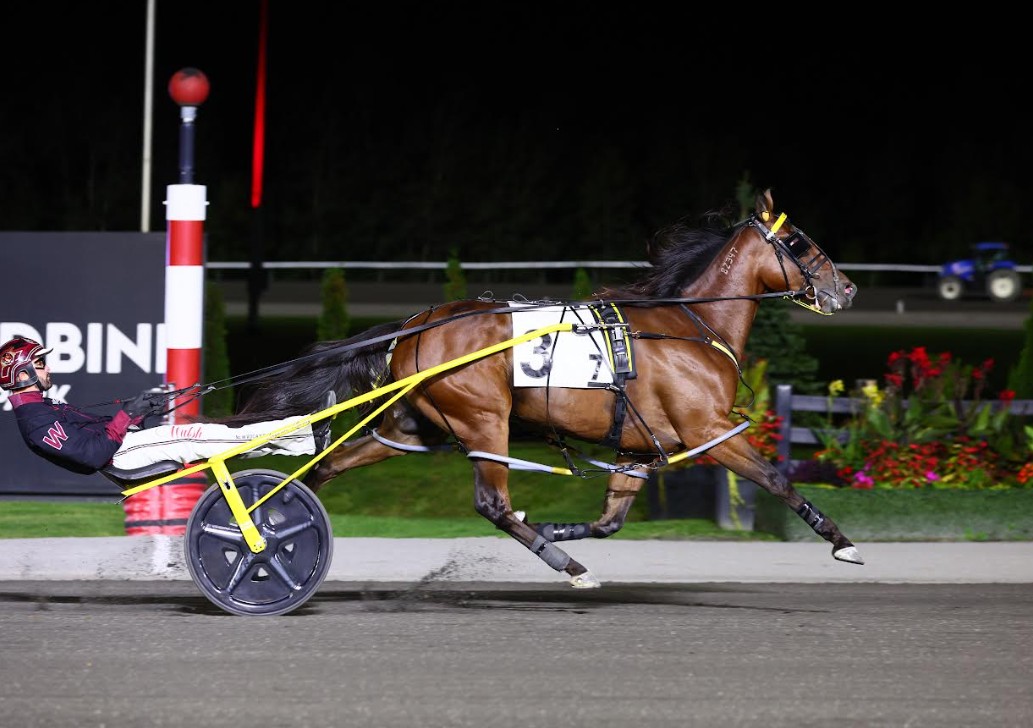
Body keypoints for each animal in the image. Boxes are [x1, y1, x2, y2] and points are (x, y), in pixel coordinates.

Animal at [218, 189, 861, 588]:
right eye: (800, 242)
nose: (848, 288)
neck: (689, 326)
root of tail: (415, 325)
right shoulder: (710, 430)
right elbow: (776, 478)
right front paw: (841, 541)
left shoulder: (636, 447)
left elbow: (611, 520)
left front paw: (560, 527)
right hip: (483, 418)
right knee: (493, 503)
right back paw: (568, 566)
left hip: (416, 429)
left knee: (327, 467)